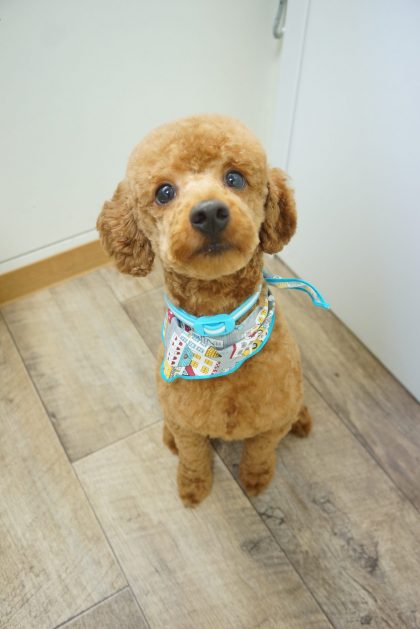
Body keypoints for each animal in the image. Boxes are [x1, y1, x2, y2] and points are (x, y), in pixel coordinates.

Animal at [97, 114, 312, 507]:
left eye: (235, 178)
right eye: (164, 192)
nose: (209, 212)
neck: (217, 332)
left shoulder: (273, 422)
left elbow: (261, 451)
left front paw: (255, 479)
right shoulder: (186, 424)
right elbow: (193, 455)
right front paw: (194, 486)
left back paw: (302, 419)